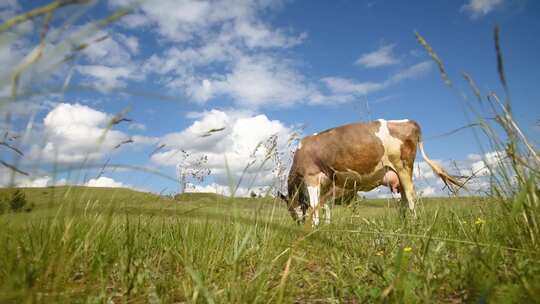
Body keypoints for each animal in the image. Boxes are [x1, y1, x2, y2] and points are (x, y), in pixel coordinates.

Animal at [278, 119, 464, 226]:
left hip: (403, 166)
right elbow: (324, 206)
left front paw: (314, 227)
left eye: (289, 210)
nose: (298, 225)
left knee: (411, 195)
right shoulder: (327, 184)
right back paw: (403, 223)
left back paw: (413, 223)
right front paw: (325, 226)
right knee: (404, 198)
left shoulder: (311, 176)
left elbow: (315, 206)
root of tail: (409, 121)